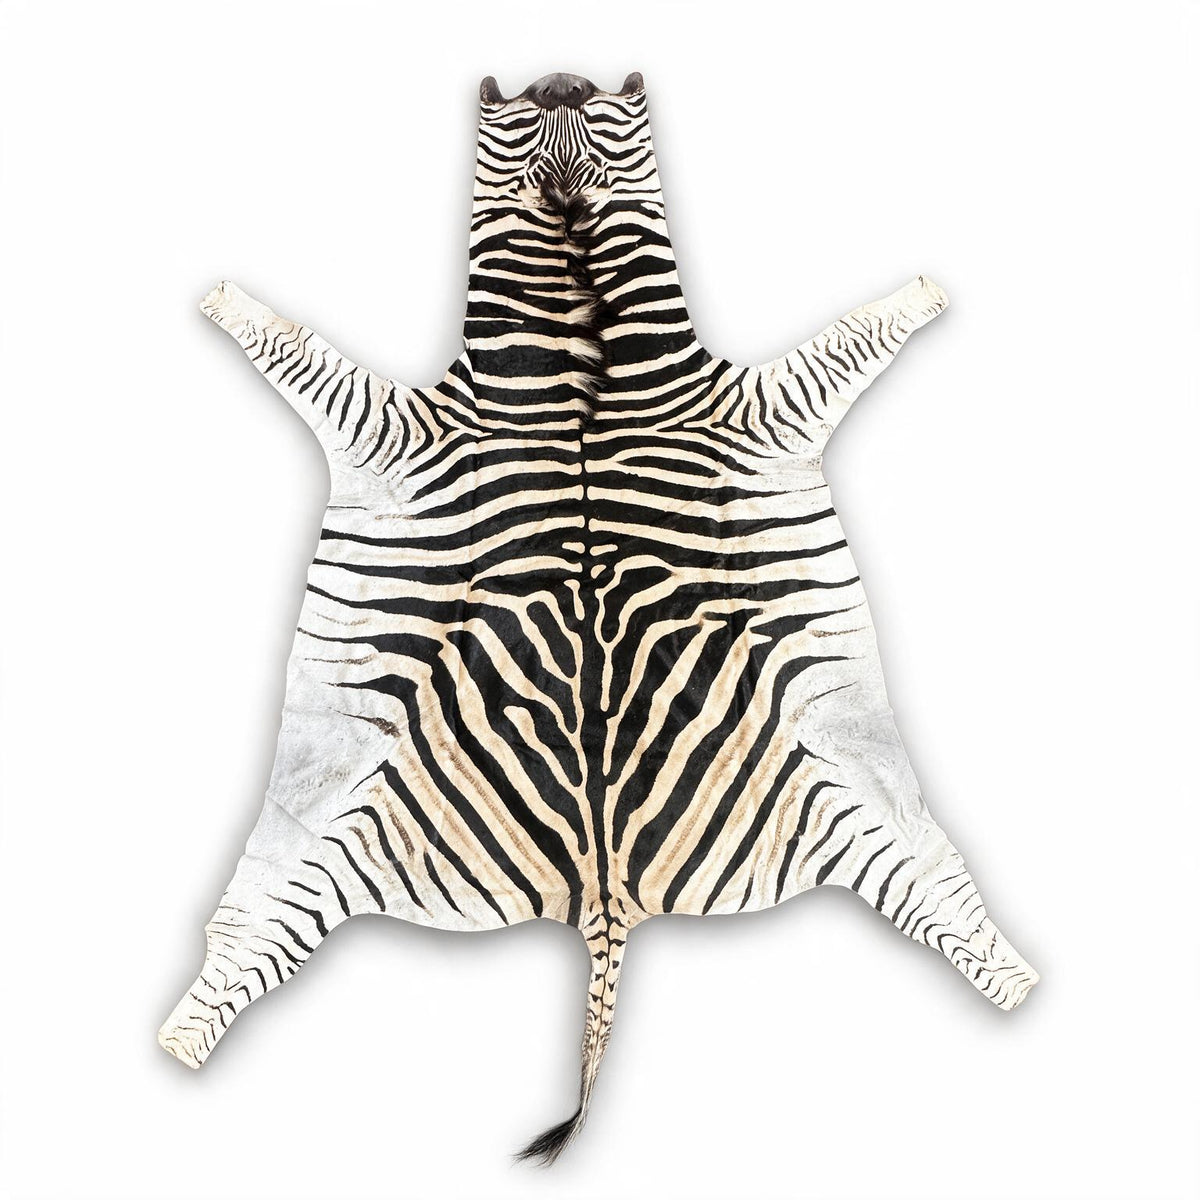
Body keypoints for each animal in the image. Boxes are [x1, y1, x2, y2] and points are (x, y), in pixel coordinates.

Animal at [159, 70, 1038, 1163]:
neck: (578, 346)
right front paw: (220, 297)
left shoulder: (753, 407)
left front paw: (924, 291)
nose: (562, 79)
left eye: (614, 107)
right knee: (246, 941)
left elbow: (857, 333)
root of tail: (606, 898)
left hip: (861, 790)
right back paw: (180, 1038)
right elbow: (295, 347)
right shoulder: (406, 425)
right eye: (513, 107)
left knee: (946, 901)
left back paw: (1019, 982)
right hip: (321, 823)